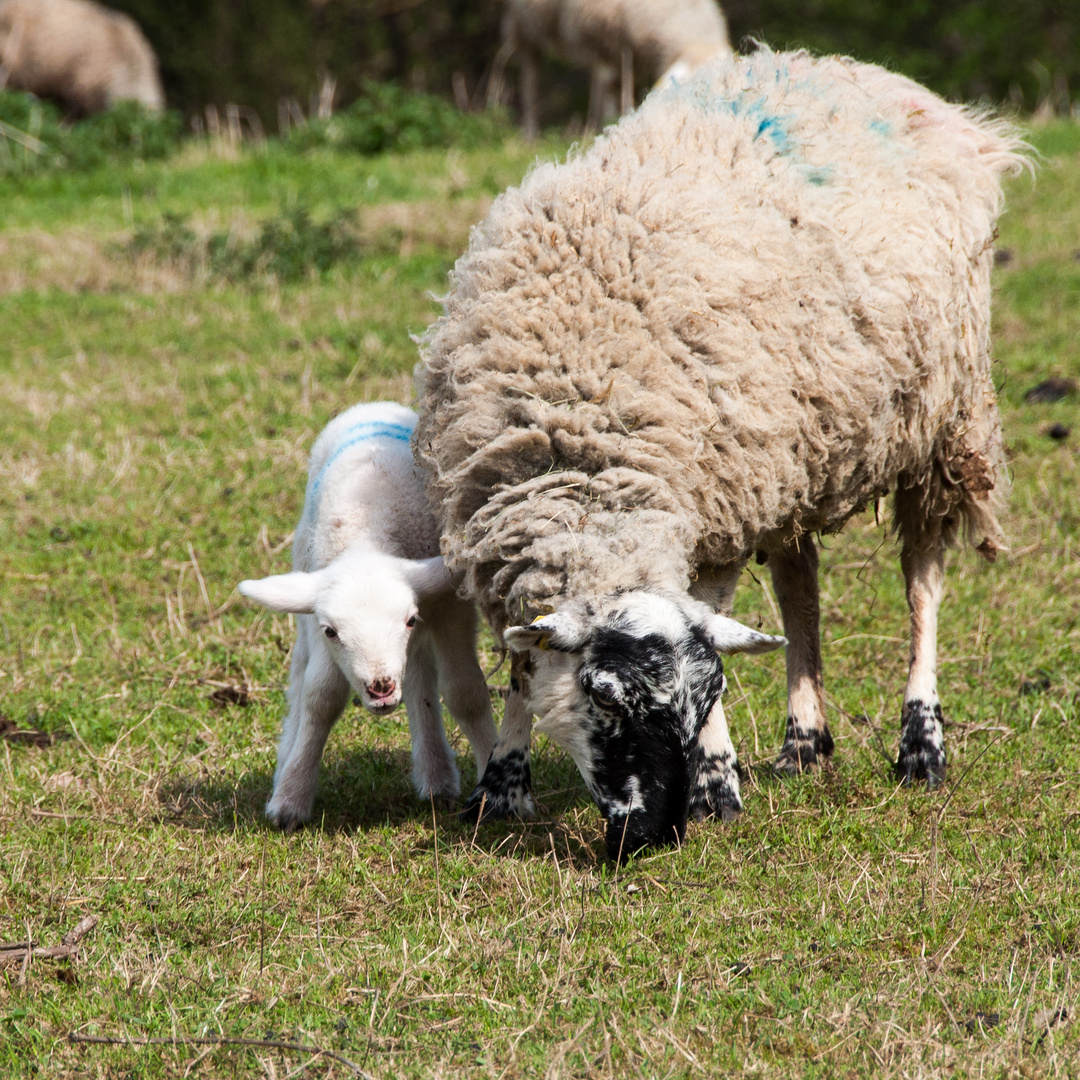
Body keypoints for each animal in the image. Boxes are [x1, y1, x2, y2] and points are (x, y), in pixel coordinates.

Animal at [238, 401, 494, 829]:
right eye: (333, 631)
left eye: (408, 620)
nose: (381, 687)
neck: (367, 532)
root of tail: (372, 406)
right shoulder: (318, 618)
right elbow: (320, 697)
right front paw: (290, 799)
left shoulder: (448, 606)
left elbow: (465, 693)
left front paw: (498, 784)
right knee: (301, 675)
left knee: (421, 677)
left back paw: (436, 778)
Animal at [414, 48, 1028, 859]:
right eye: (603, 697)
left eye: (710, 694)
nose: (653, 832)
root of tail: (873, 77)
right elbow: (521, 661)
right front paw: (500, 787)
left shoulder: (715, 515)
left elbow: (709, 615)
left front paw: (716, 786)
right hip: (794, 449)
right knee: (801, 588)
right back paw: (804, 743)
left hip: (939, 423)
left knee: (922, 579)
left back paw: (920, 745)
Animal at [492, 0, 730, 140]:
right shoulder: (598, 35)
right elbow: (607, 86)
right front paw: (606, 124)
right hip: (526, 20)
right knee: (529, 70)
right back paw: (530, 134)